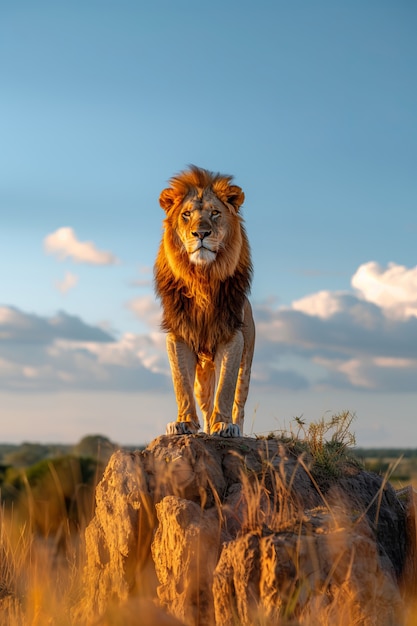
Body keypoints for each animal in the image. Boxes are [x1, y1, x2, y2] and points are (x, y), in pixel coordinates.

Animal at [154, 167, 254, 438]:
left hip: (246, 361)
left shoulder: (232, 335)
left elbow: (225, 389)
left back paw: (236, 428)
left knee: (239, 401)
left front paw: (224, 426)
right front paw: (183, 423)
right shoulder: (177, 334)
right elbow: (181, 385)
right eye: (187, 214)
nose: (201, 234)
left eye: (215, 213)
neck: (202, 279)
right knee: (205, 400)